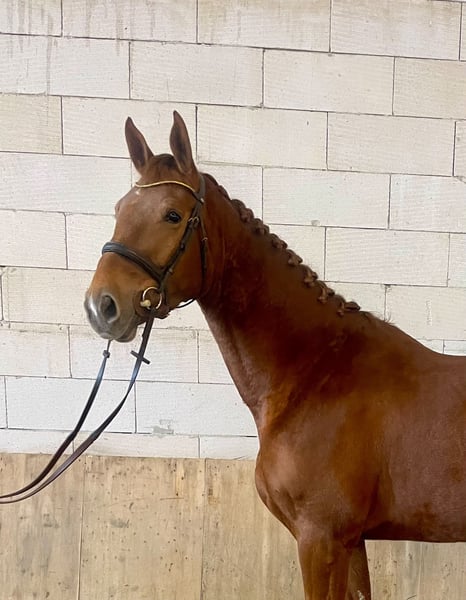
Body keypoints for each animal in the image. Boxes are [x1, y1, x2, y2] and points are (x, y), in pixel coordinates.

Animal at [84, 111, 466, 599]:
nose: (102, 305)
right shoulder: (351, 542)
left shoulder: (321, 539)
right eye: (119, 210)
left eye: (173, 215)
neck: (314, 373)